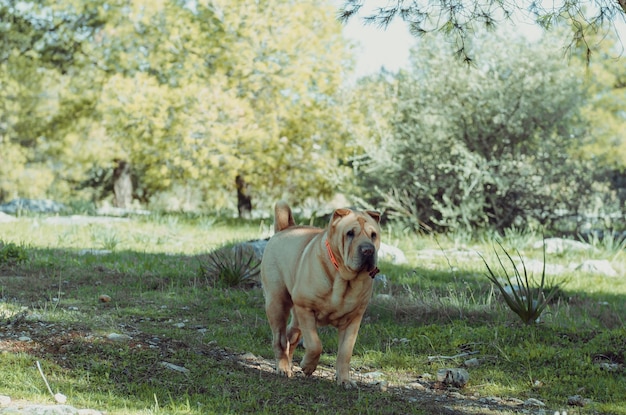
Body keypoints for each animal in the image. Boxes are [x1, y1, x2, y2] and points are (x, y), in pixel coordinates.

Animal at [260, 200, 380, 388]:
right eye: (350, 233)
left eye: (373, 235)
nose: (368, 250)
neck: (344, 279)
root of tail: (285, 228)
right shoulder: (305, 308)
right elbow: (315, 344)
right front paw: (308, 366)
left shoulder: (353, 320)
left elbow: (345, 352)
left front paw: (345, 380)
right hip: (277, 303)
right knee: (280, 339)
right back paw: (283, 368)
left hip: (295, 317)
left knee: (291, 337)